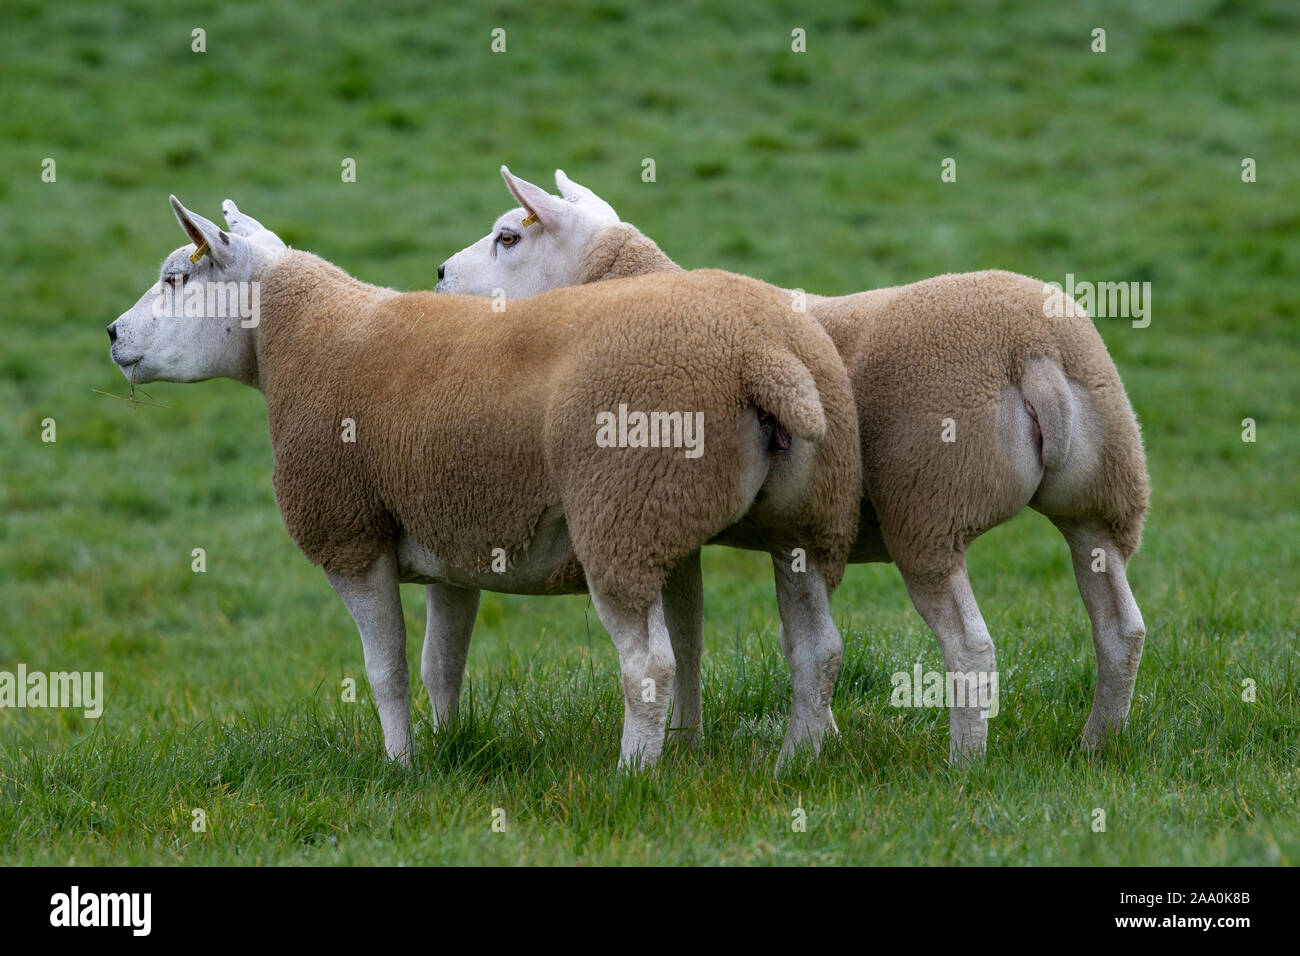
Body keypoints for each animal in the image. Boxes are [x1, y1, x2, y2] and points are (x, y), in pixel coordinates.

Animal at [434, 164, 1149, 764]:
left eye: (508, 237)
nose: (439, 275)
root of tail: (1034, 348)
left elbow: (688, 637)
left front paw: (688, 745)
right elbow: (705, 632)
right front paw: (769, 738)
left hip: (930, 510)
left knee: (971, 647)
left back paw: (962, 764)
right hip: (1103, 495)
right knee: (1121, 626)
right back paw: (1098, 744)